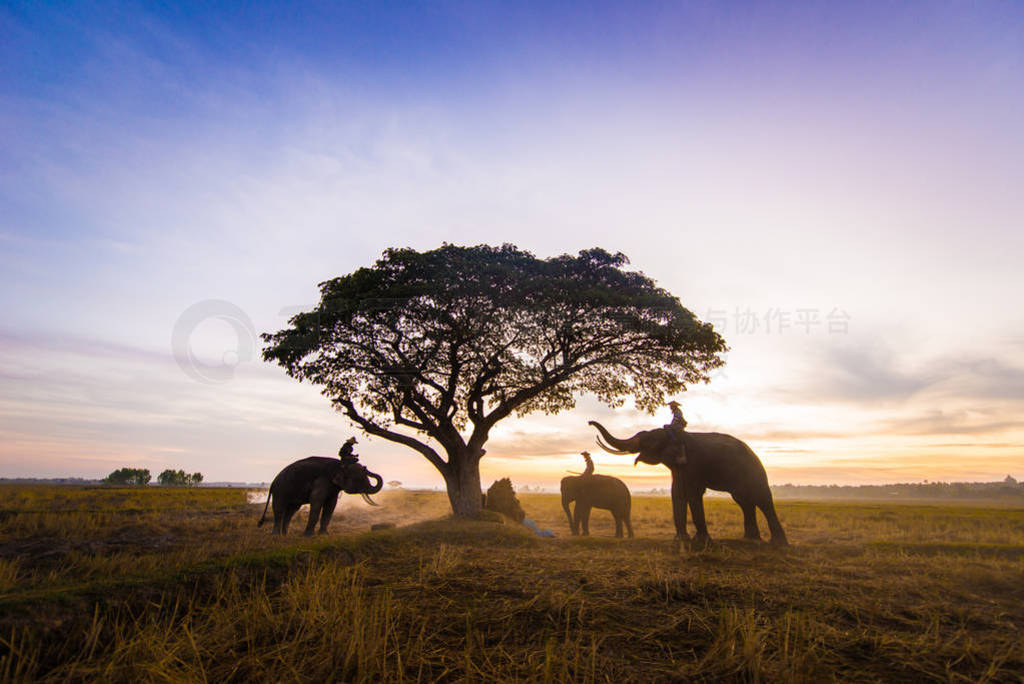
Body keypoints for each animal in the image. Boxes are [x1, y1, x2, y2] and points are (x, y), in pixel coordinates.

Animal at [256, 456, 385, 536]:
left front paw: (324, 535)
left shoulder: (332, 488)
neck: (340, 465)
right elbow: (317, 501)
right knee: (279, 509)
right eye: (360, 479)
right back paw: (276, 535)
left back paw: (285, 534)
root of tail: (272, 483)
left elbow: (331, 505)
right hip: (280, 491)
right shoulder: (322, 482)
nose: (366, 467)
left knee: (291, 511)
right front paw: (308, 536)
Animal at [589, 419, 786, 548]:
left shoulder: (694, 464)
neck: (678, 435)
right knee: (744, 502)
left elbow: (692, 493)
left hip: (754, 472)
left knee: (762, 499)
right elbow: (677, 493)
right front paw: (681, 540)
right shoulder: (679, 468)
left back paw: (778, 543)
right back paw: (750, 539)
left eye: (649, 440)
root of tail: (754, 452)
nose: (590, 423)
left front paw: (701, 541)